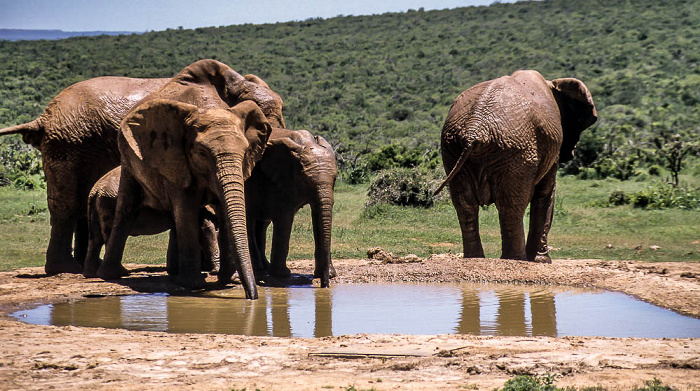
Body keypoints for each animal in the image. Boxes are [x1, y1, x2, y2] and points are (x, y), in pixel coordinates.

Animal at [83, 167, 219, 278]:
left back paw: (91, 274)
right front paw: (213, 270)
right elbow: (205, 228)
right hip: (109, 203)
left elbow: (177, 230)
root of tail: (94, 191)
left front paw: (174, 271)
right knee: (108, 235)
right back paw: (122, 272)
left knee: (95, 238)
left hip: (99, 206)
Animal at [246, 129, 340, 288]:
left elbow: (317, 214)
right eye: (306, 180)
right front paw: (282, 275)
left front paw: (328, 274)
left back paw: (264, 267)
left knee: (260, 224)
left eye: (335, 179)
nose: (325, 285)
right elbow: (285, 218)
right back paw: (258, 269)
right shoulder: (279, 179)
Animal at [438, 71, 596, 264]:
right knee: (511, 206)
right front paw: (543, 261)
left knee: (465, 205)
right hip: (516, 150)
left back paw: (475, 258)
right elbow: (545, 194)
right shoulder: (551, 147)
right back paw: (516, 259)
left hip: (453, 148)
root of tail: (475, 129)